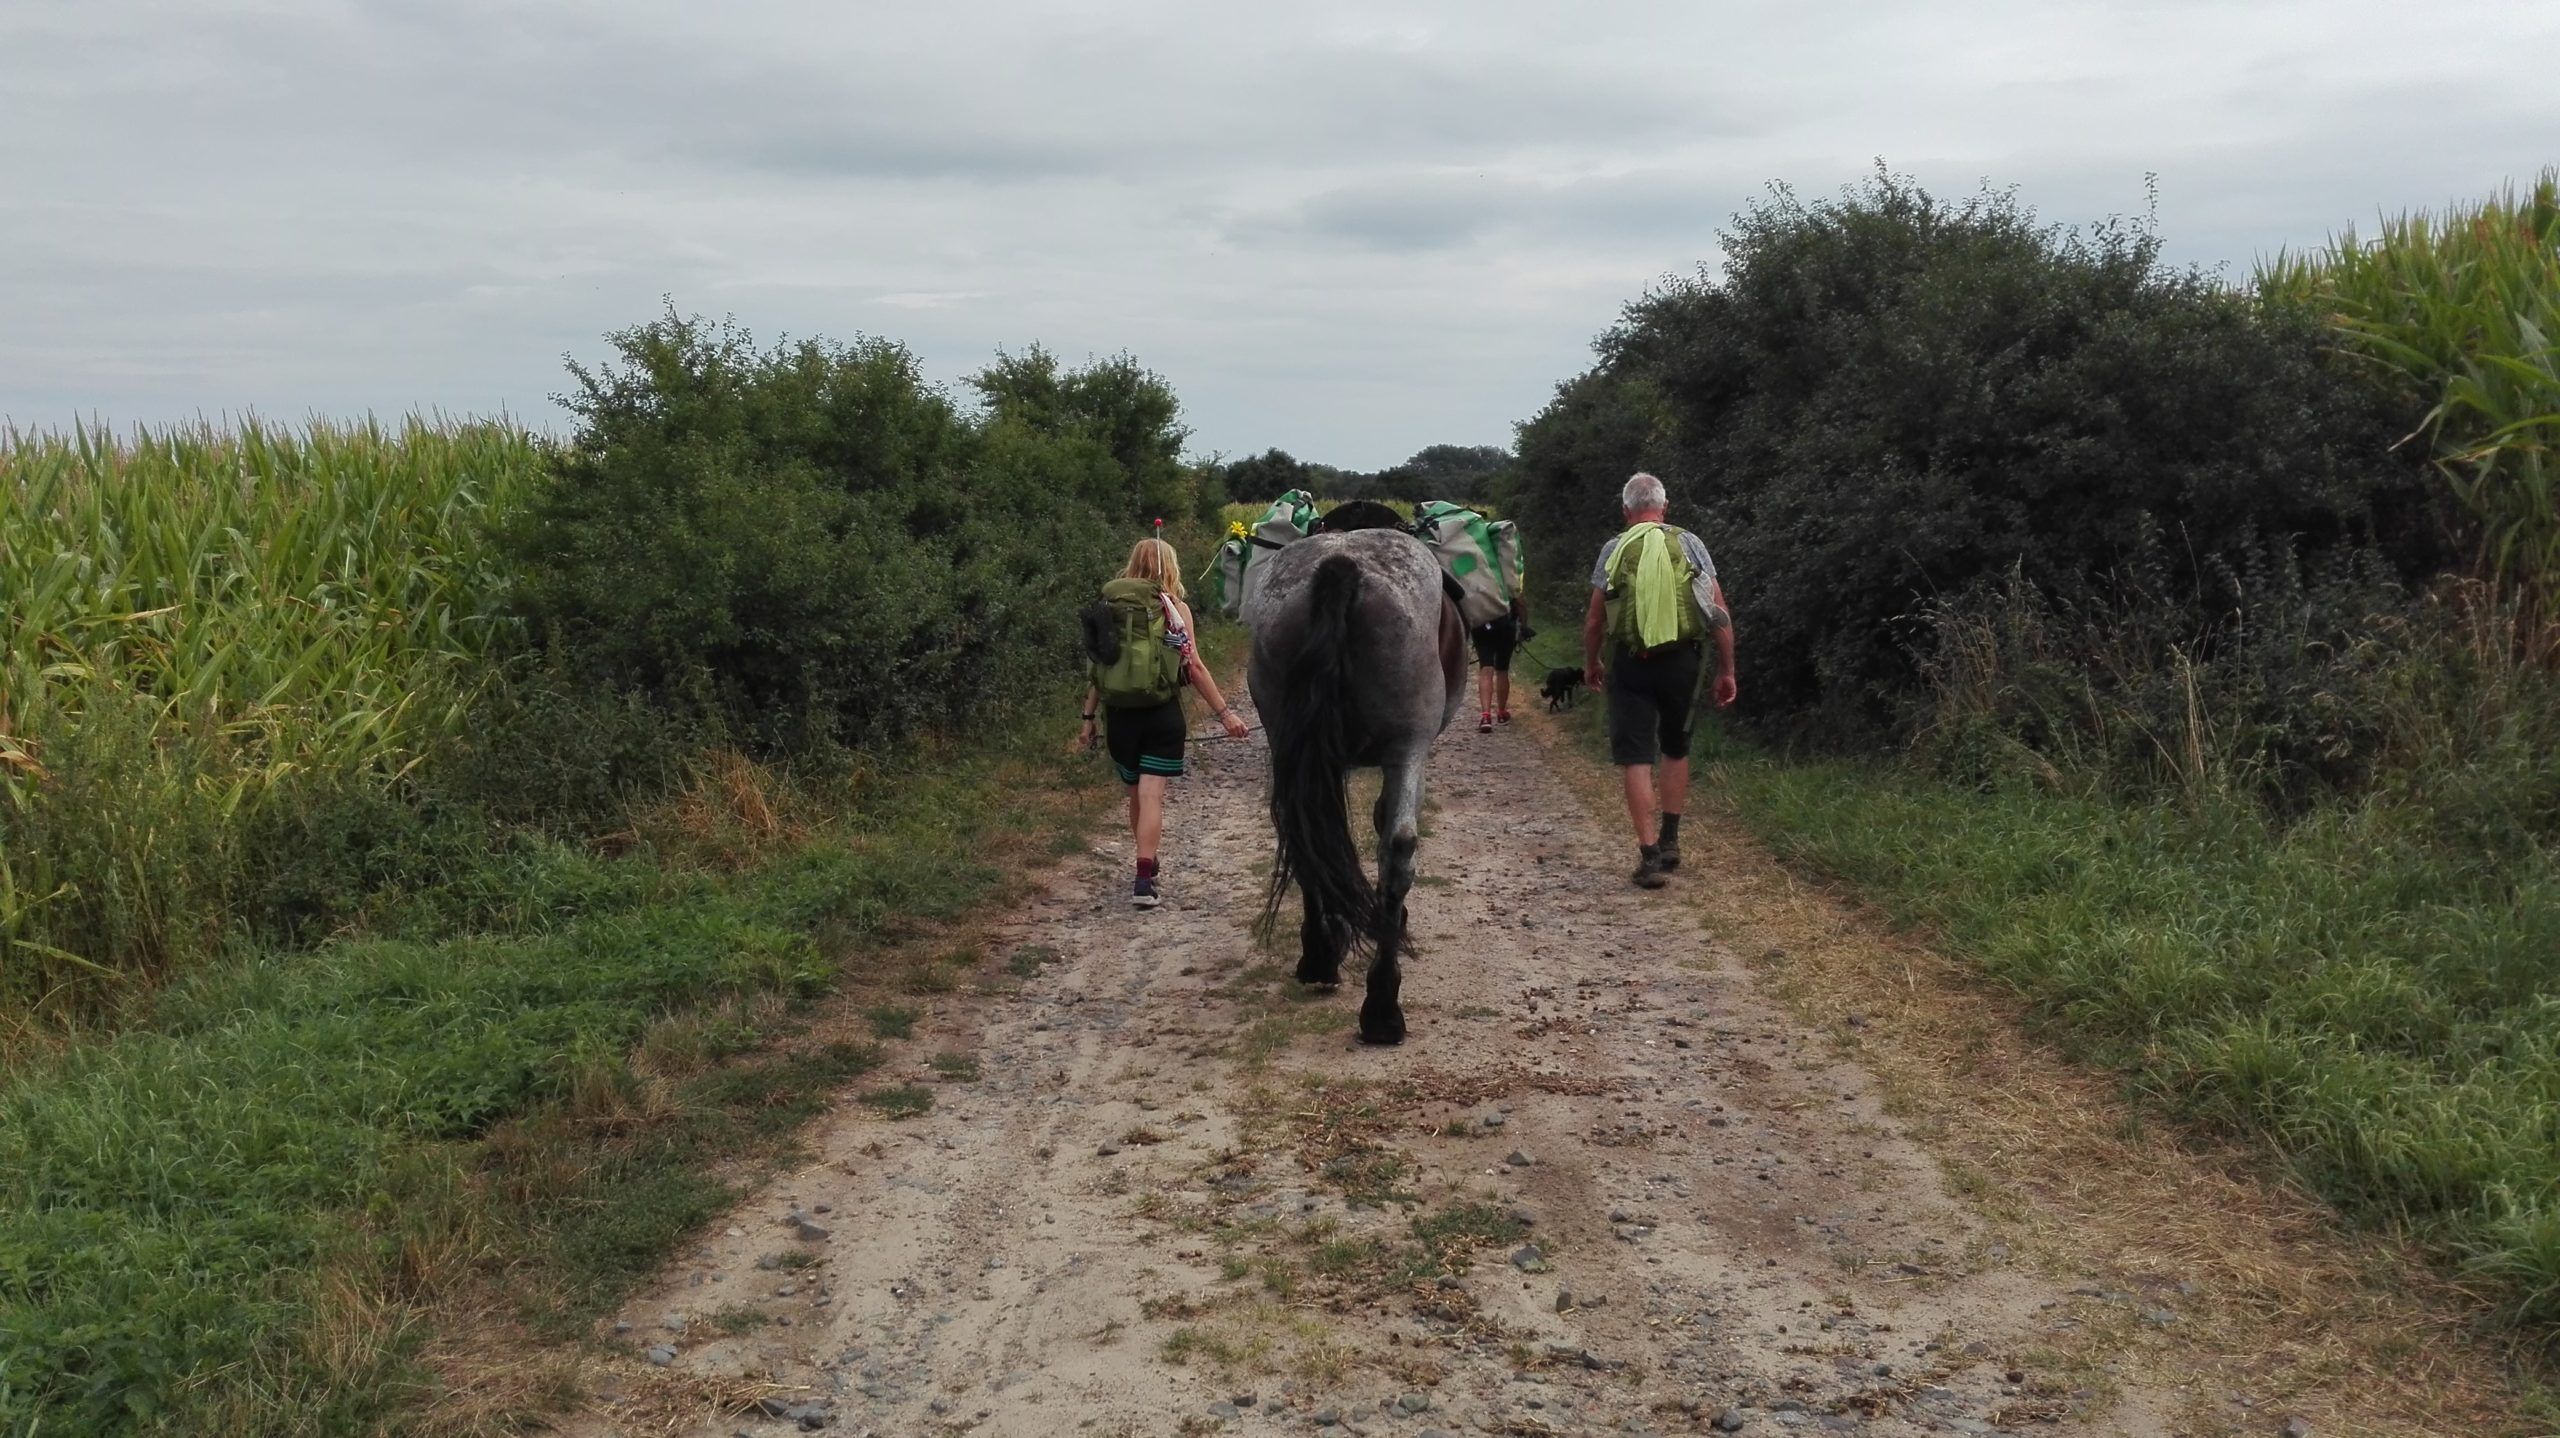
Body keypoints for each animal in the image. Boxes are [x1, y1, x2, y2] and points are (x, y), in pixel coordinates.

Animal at [1239, 514, 1464, 1038]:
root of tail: (1341, 567)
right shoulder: (1408, 755)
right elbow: (1383, 825)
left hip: (1290, 740)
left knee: (1301, 837)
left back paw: (1322, 959)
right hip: (1408, 744)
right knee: (1398, 850)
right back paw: (1380, 1003)